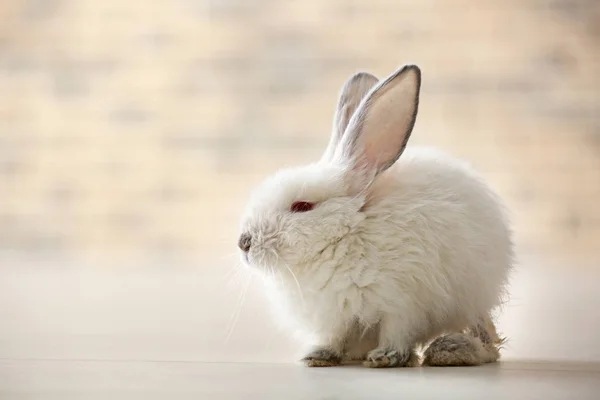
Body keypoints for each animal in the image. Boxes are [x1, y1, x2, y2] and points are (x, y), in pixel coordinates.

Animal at [237, 65, 512, 368]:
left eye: (302, 206)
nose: (244, 242)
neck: (347, 235)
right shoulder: (334, 317)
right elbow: (333, 337)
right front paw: (317, 356)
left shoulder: (404, 304)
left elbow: (397, 333)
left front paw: (386, 357)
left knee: (487, 338)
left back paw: (450, 350)